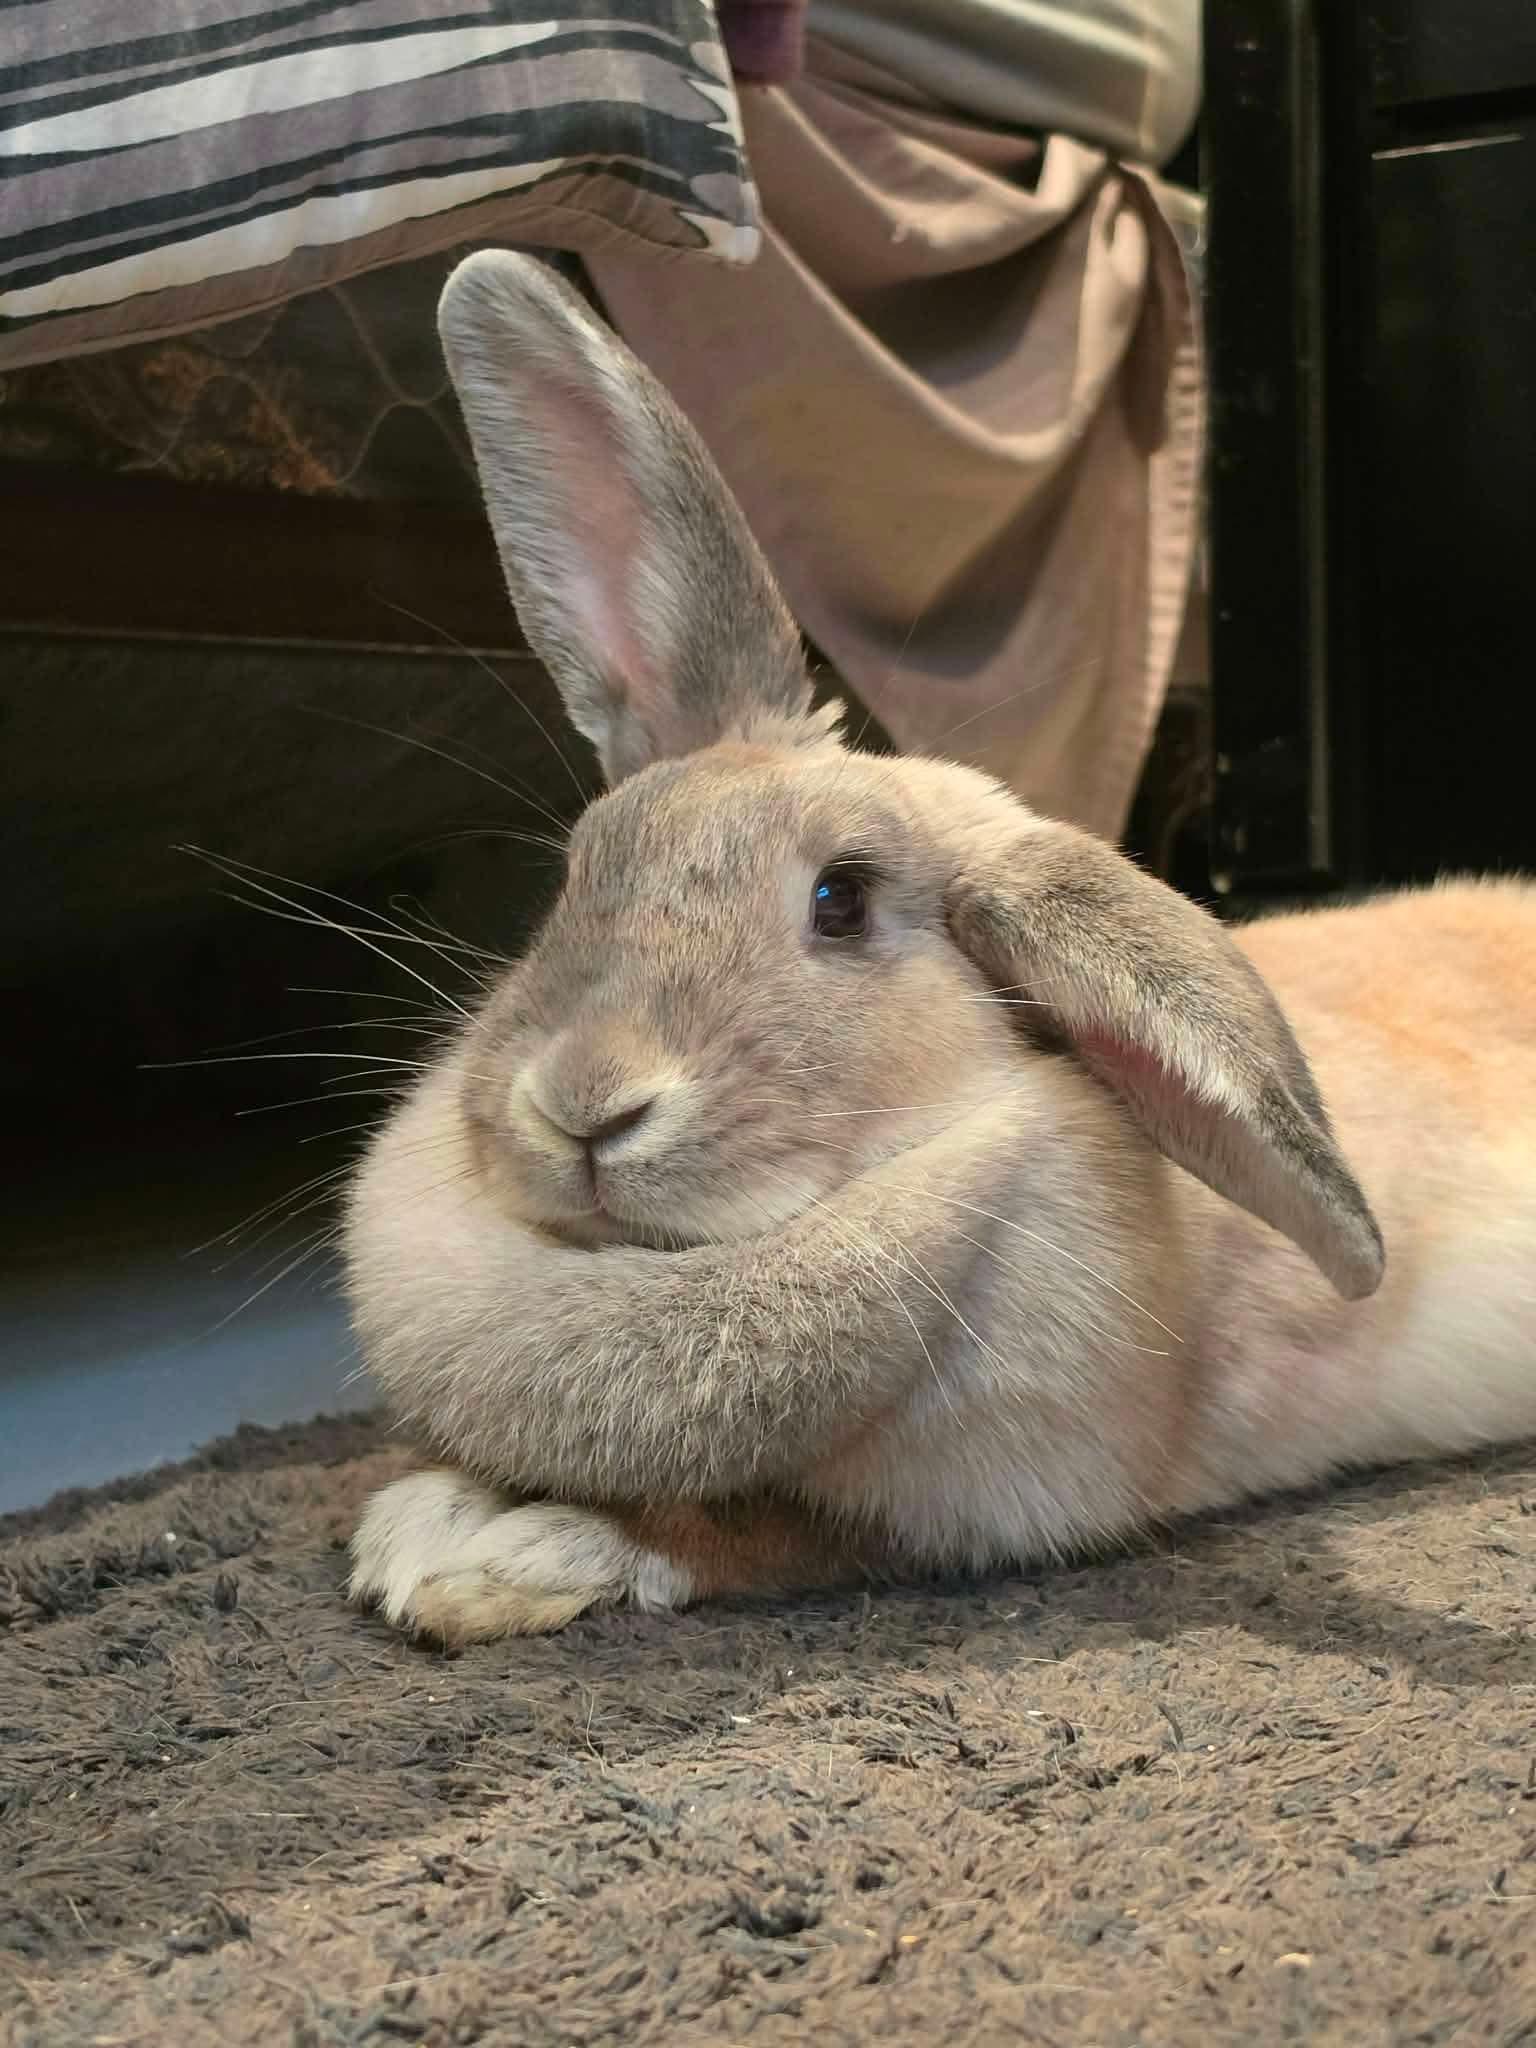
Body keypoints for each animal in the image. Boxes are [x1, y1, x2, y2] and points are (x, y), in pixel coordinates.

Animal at [345, 248, 1536, 1645]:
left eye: (842, 900)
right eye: (582, 866)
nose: (585, 1104)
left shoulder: (989, 1503)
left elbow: (763, 1525)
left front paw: (484, 1543)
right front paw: (436, 1499)